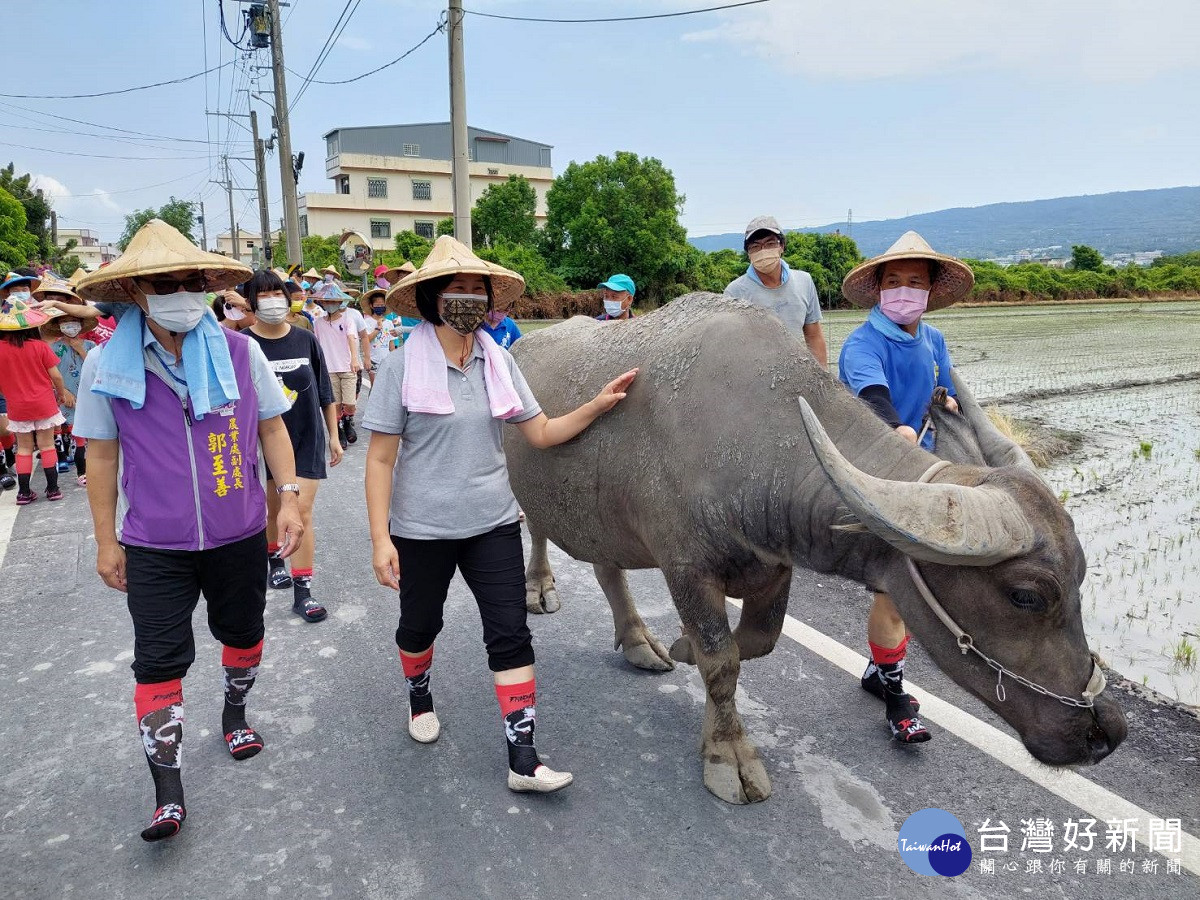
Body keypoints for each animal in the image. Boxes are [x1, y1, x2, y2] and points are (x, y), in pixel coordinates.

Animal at [504, 294, 1123, 801]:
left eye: (1082, 577)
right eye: (1026, 596)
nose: (1106, 729)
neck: (755, 441)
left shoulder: (773, 567)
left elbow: (756, 643)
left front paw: (680, 646)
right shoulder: (686, 567)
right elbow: (721, 662)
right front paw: (727, 755)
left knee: (607, 568)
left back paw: (639, 642)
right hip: (524, 489)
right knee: (538, 531)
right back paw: (539, 587)